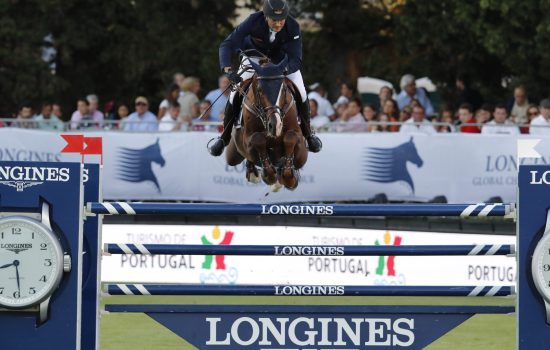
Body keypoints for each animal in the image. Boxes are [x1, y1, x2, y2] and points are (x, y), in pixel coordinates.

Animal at [225, 55, 310, 190]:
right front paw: (269, 176)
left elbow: (290, 137)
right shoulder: (247, 142)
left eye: (284, 89)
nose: (275, 125)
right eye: (260, 89)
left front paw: (288, 177)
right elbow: (258, 139)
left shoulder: (301, 148)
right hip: (233, 154)